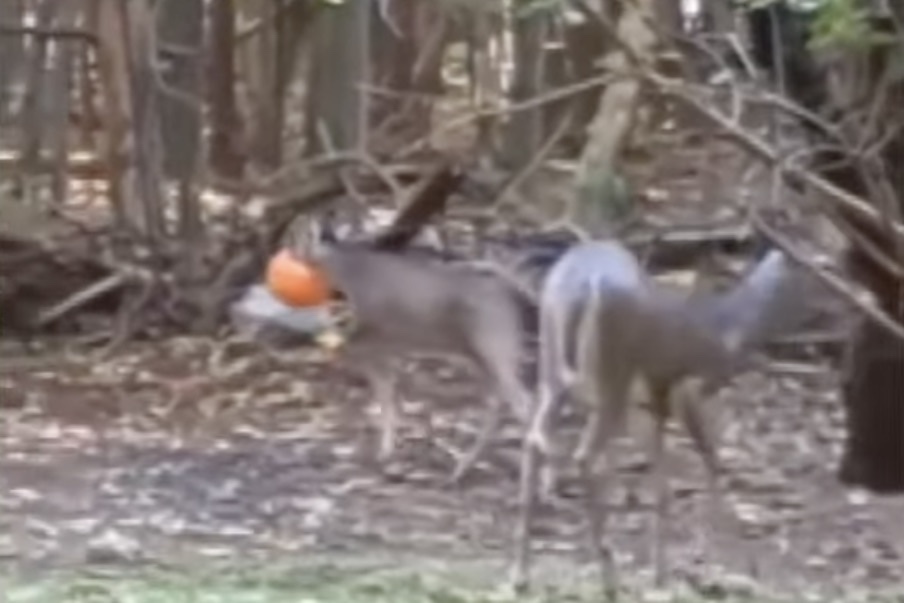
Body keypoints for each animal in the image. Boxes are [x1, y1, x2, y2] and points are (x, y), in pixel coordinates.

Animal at [509, 238, 814, 597]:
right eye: (808, 267)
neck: (724, 331)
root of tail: (581, 287)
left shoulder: (646, 404)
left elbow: (660, 484)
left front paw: (666, 571)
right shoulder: (681, 390)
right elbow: (702, 467)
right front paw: (689, 569)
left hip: (554, 369)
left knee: (535, 440)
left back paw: (522, 575)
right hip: (612, 374)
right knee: (585, 455)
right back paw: (609, 579)